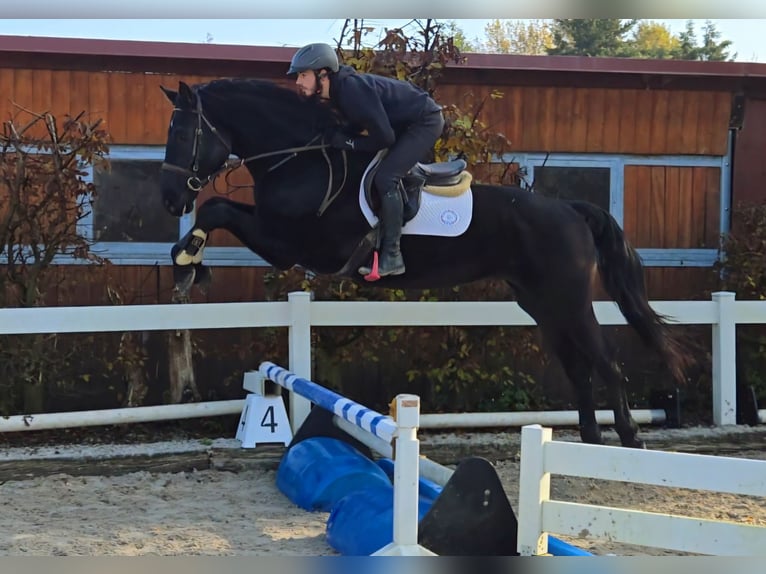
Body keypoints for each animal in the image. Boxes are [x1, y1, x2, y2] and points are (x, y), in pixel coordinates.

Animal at [159, 79, 692, 452]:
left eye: (184, 133)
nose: (168, 200)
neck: (300, 158)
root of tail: (570, 210)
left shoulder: (291, 245)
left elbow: (216, 209)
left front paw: (187, 262)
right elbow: (216, 209)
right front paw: (188, 262)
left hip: (570, 302)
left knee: (608, 364)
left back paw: (629, 440)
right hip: (543, 305)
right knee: (580, 369)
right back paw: (590, 442)